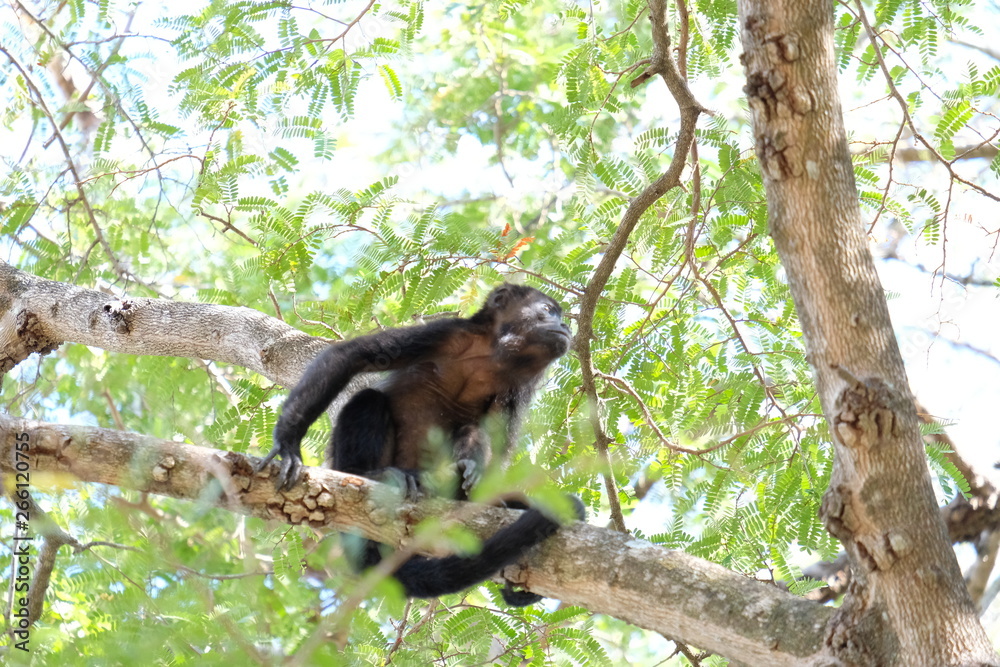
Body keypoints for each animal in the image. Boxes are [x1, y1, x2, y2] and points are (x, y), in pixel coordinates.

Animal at [257, 283, 581, 606]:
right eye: (548, 310)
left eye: (559, 315)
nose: (565, 325)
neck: (496, 355)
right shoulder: (449, 333)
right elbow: (353, 355)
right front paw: (288, 441)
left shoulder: (520, 384)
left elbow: (500, 443)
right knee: (368, 399)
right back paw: (373, 475)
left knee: (470, 428)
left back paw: (461, 478)